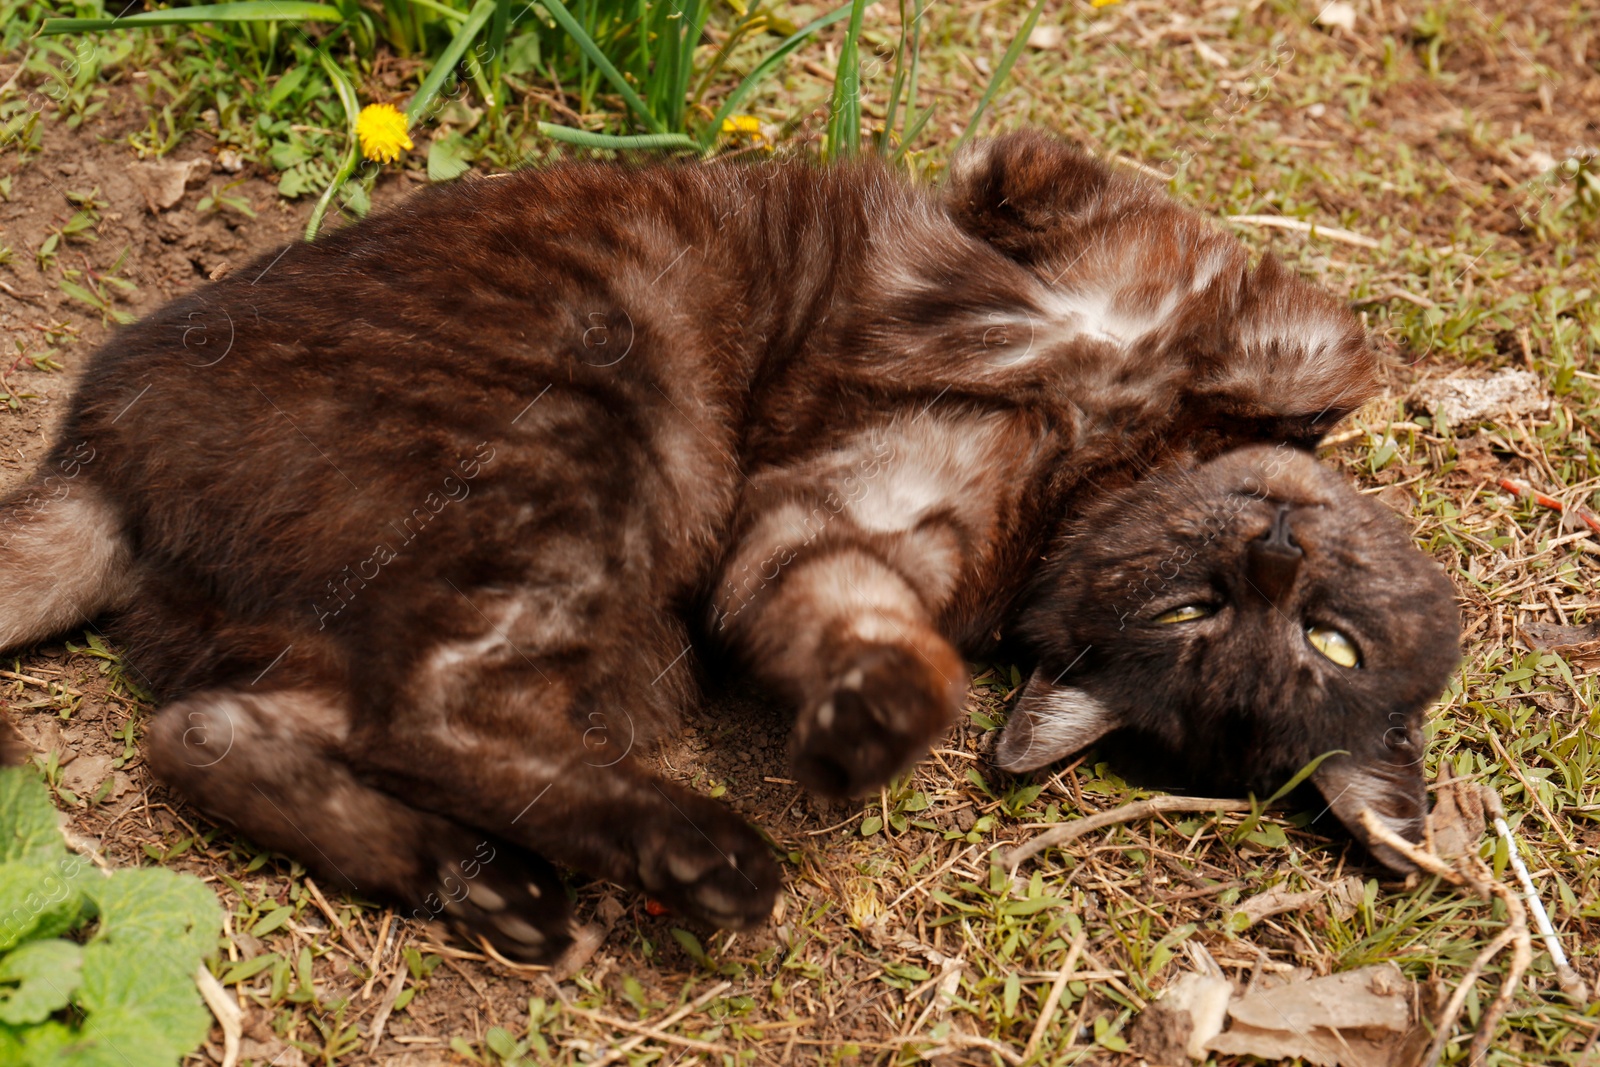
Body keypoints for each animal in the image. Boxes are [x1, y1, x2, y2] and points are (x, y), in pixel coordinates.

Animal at [0, 133, 1459, 959]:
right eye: (1195, 611)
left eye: (1316, 640)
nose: (1273, 553)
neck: (1086, 474)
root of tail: (95, 456)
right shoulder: (1091, 252)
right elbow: (1297, 325)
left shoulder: (818, 528)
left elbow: (858, 615)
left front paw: (868, 720)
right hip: (593, 433)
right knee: (321, 717)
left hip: (577, 505)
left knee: (317, 718)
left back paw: (601, 870)